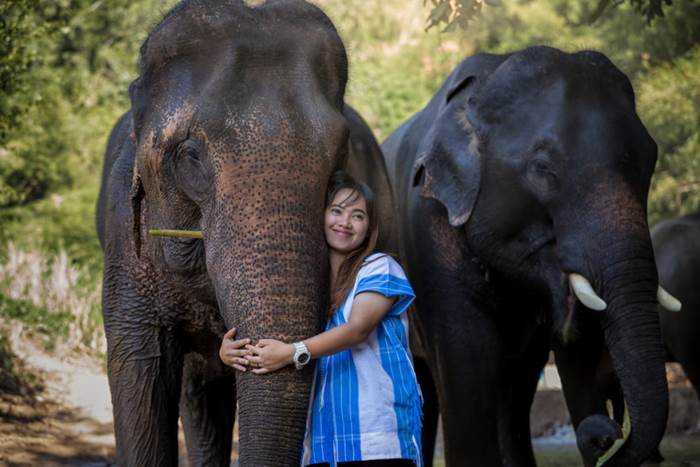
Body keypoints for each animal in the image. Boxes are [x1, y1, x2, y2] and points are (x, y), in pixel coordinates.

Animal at [380, 46, 676, 467]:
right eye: (542, 168)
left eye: (649, 161)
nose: (605, 434)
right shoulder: (428, 229)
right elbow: (468, 356)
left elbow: (564, 357)